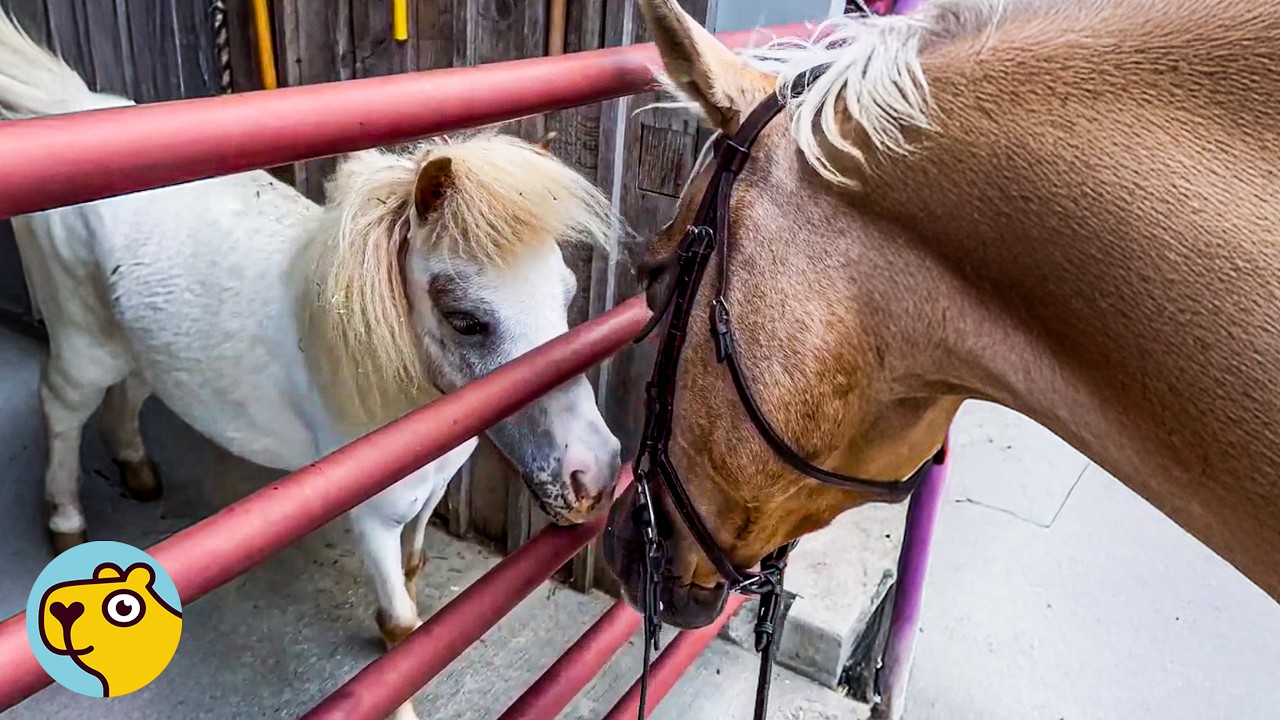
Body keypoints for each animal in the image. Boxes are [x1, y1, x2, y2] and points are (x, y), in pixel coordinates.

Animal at [0, 11, 621, 700]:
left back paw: (137, 472)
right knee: (60, 413)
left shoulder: (425, 500)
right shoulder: (373, 519)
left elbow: (415, 571)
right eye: (466, 321)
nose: (597, 475)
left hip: (139, 347)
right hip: (84, 346)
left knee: (128, 398)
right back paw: (66, 524)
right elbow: (399, 635)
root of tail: (69, 105)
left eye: (566, 292)